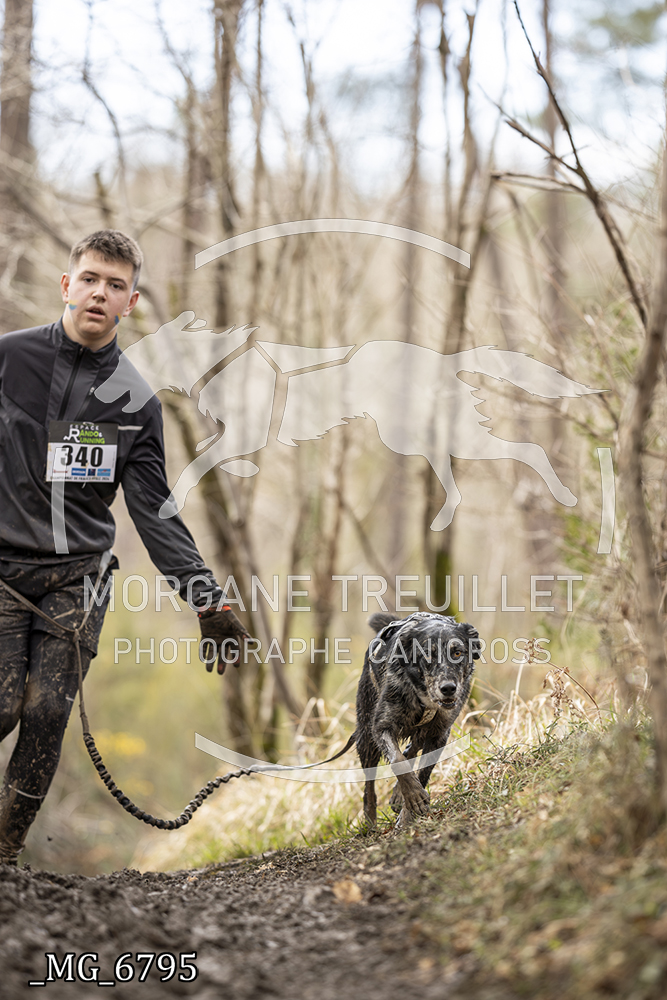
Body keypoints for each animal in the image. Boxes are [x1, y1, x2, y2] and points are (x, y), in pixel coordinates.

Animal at [351, 611, 481, 829]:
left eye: (457, 653)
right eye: (427, 655)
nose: (448, 688)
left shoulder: (439, 735)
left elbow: (422, 772)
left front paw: (407, 814)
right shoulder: (381, 727)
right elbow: (398, 761)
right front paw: (412, 796)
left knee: (411, 748)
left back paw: (397, 795)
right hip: (366, 737)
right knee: (369, 786)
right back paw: (369, 822)